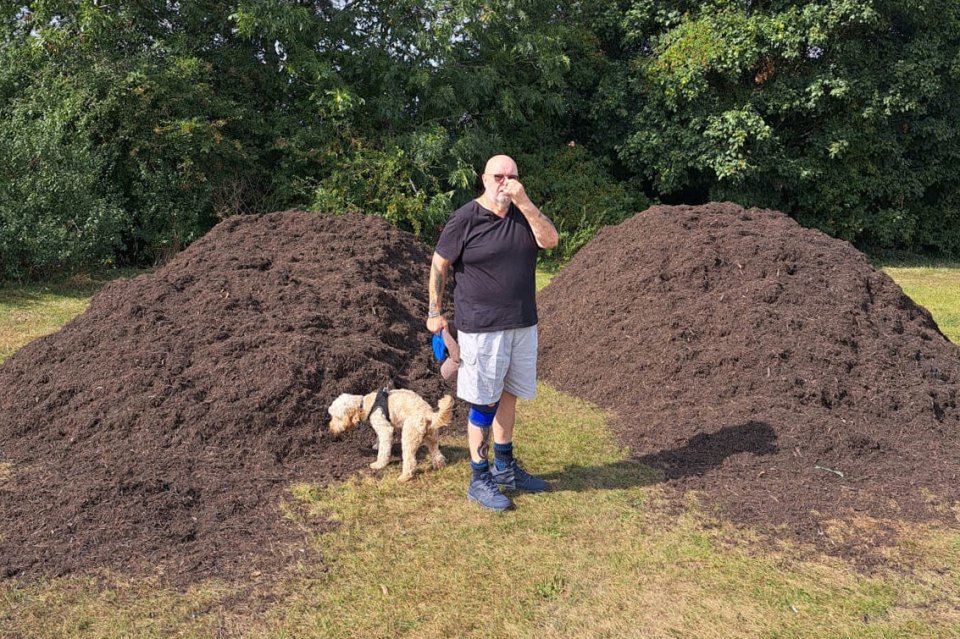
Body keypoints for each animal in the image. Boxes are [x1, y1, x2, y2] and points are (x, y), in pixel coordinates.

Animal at [326, 390, 454, 480]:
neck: (366, 404)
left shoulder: (385, 429)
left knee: (410, 461)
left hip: (409, 436)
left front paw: (379, 464)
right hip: (432, 437)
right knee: (437, 454)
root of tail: (428, 414)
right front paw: (376, 446)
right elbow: (379, 439)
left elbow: (384, 450)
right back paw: (439, 466)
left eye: (337, 417)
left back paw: (404, 477)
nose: (330, 430)